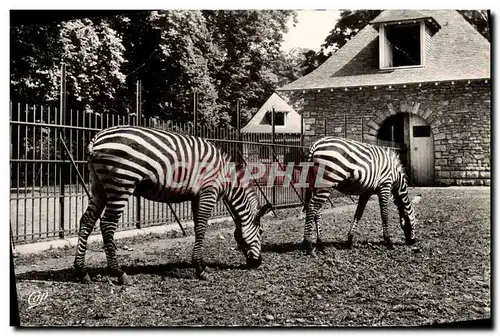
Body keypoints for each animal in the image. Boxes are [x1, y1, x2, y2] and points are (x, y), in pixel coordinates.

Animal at [72, 125, 272, 284]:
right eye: (261, 232)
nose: (258, 264)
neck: (225, 178)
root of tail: (97, 138)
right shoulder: (208, 192)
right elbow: (202, 228)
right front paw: (201, 269)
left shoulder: (196, 197)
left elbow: (197, 227)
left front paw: (198, 265)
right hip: (121, 183)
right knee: (107, 224)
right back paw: (119, 273)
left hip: (99, 186)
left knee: (87, 221)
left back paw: (82, 271)